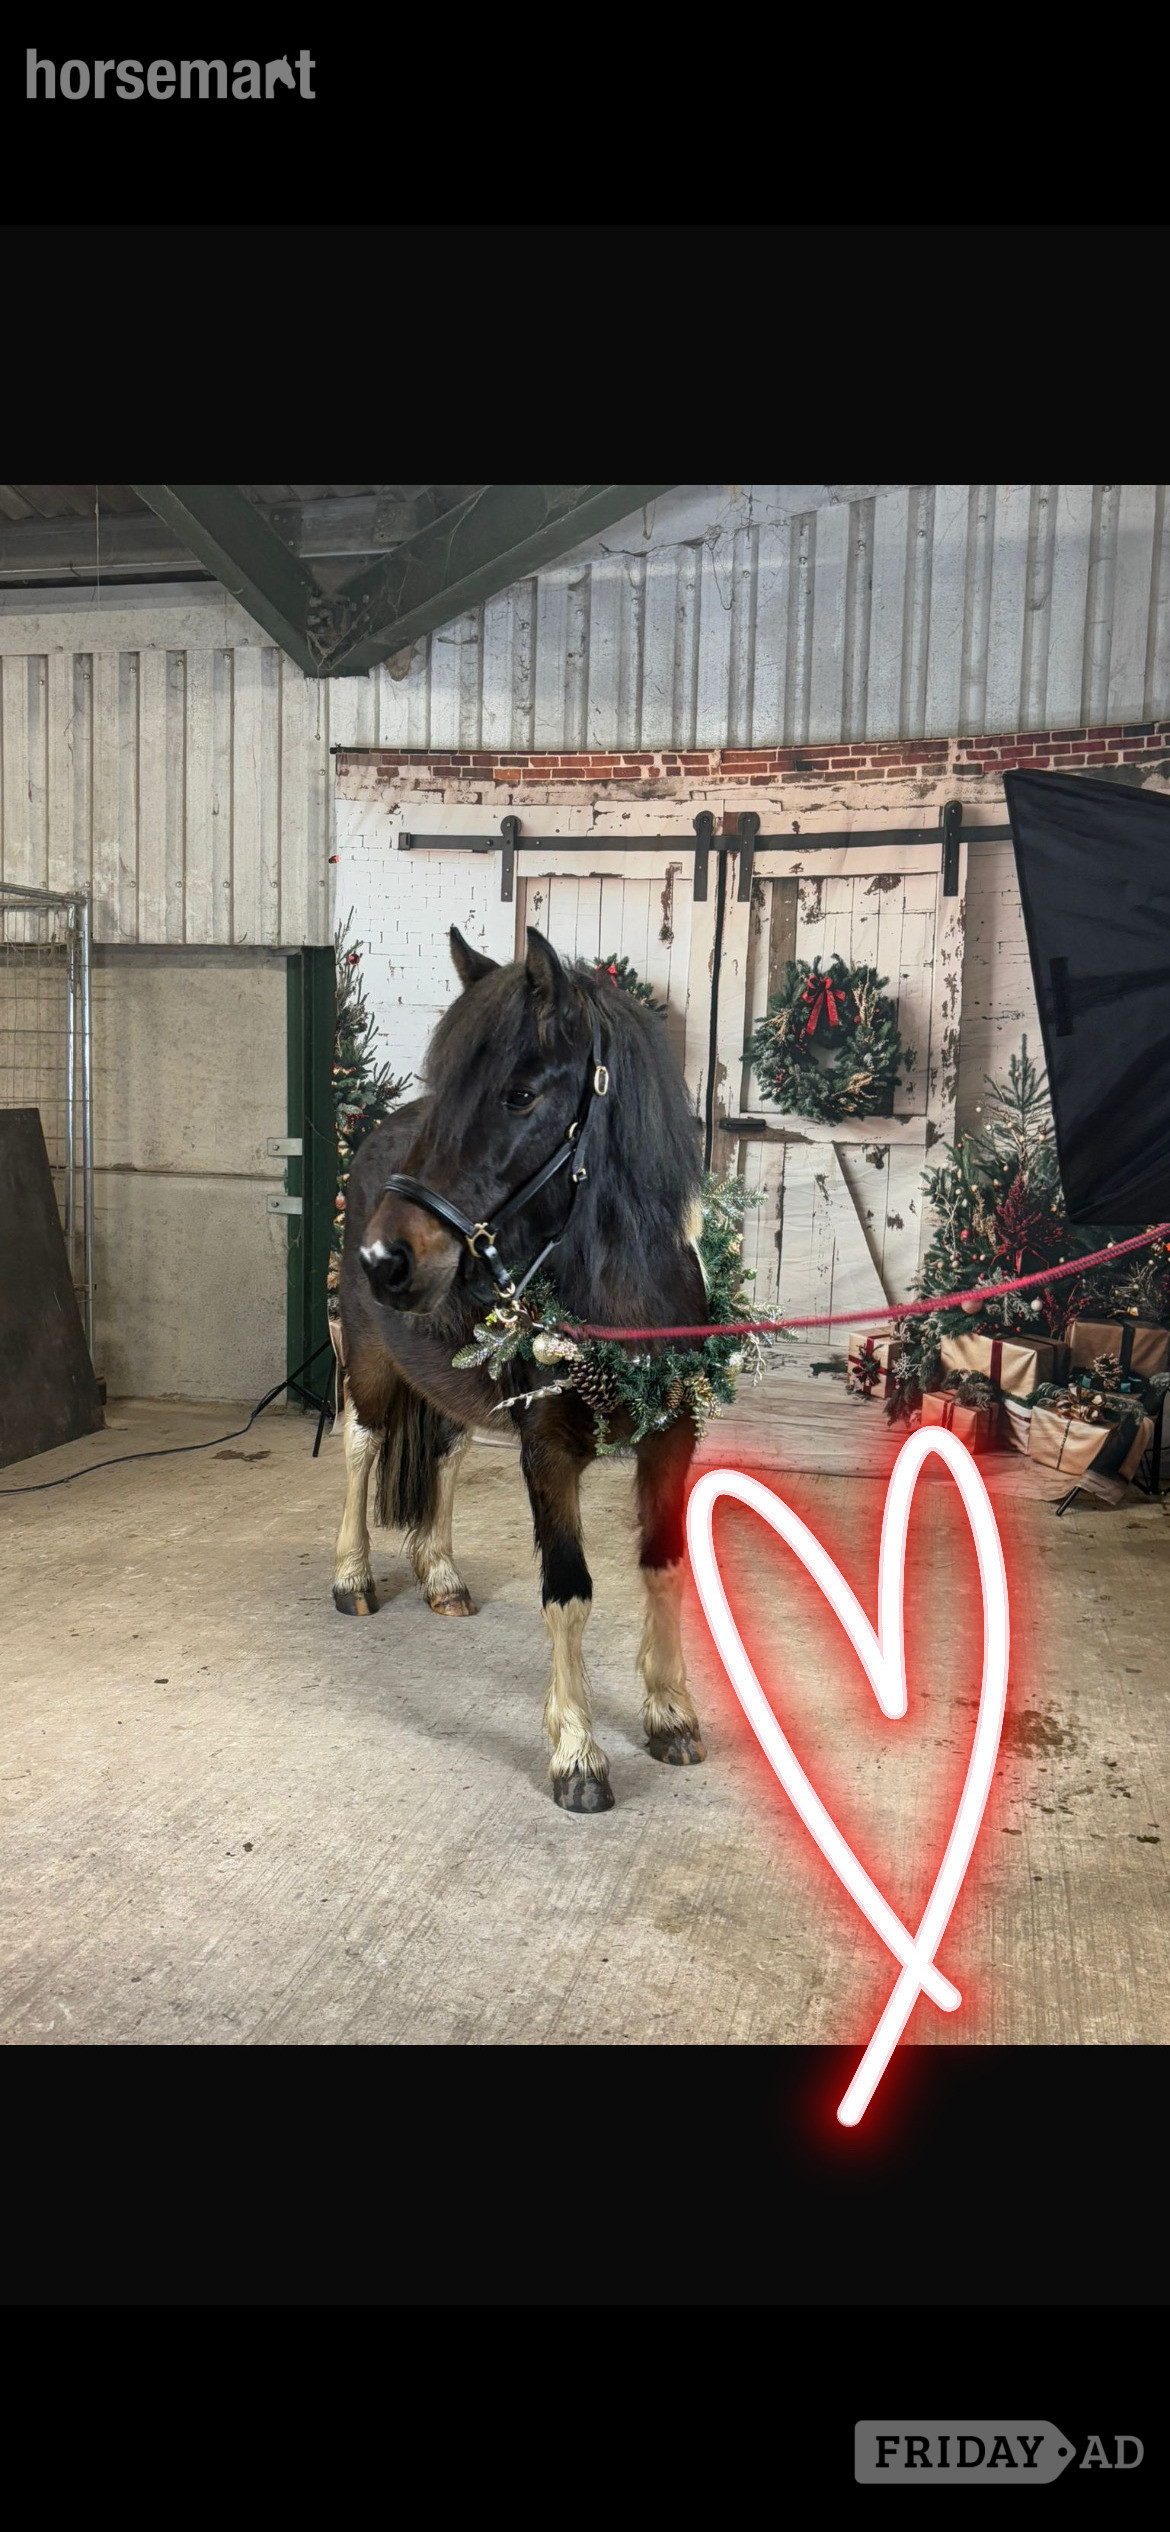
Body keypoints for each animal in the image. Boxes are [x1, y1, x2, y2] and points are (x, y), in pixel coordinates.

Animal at [332, 923, 710, 1812]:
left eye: (520, 1094)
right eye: (445, 1089)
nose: (384, 1260)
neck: (622, 1308)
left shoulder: (671, 1438)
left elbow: (664, 1567)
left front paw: (670, 1713)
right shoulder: (548, 1452)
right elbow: (569, 1591)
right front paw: (577, 1755)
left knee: (443, 1454)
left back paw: (441, 1578)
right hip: (370, 1362)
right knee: (362, 1445)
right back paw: (353, 1578)